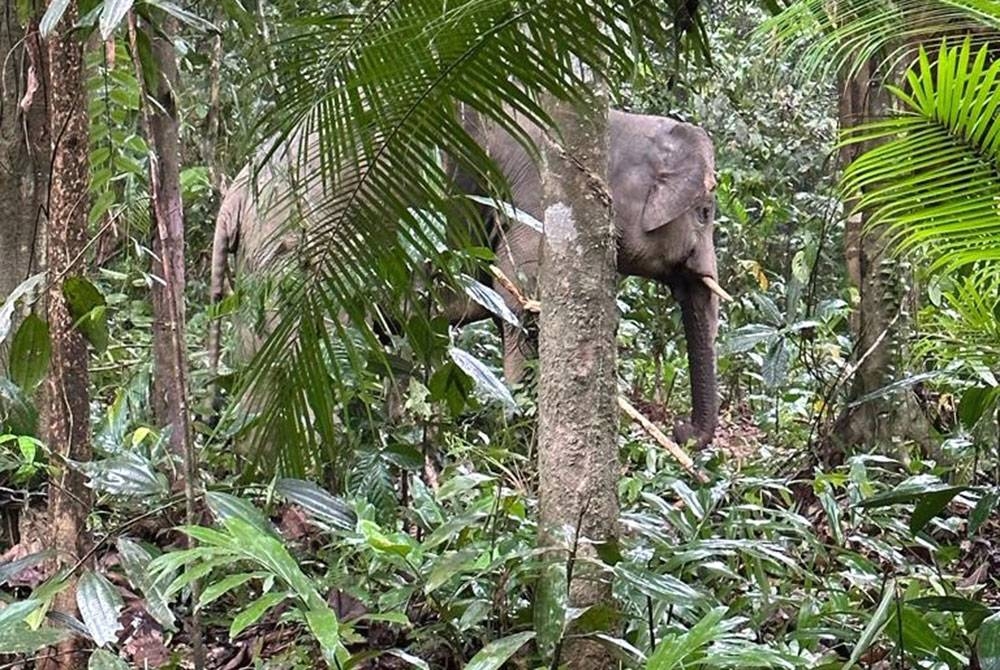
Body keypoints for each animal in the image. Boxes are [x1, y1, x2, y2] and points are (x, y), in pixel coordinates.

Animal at [209, 109, 728, 446]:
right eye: (704, 212)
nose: (681, 429)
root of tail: (234, 194)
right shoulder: (536, 207)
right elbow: (521, 303)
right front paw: (517, 431)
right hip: (295, 243)